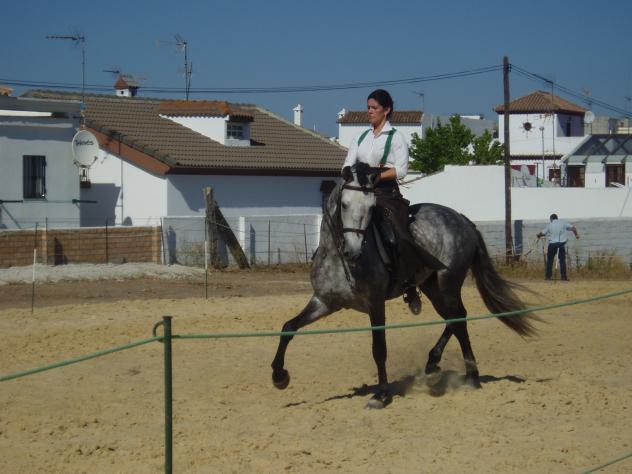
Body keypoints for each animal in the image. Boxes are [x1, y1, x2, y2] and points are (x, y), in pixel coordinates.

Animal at [271, 165, 537, 409]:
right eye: (344, 205)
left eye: (371, 208)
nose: (353, 250)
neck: (340, 258)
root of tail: (462, 219)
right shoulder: (324, 302)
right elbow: (288, 328)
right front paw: (279, 376)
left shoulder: (375, 304)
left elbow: (379, 348)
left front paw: (381, 394)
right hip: (432, 287)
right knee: (455, 318)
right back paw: (434, 364)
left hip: (448, 284)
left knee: (459, 320)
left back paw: (471, 376)